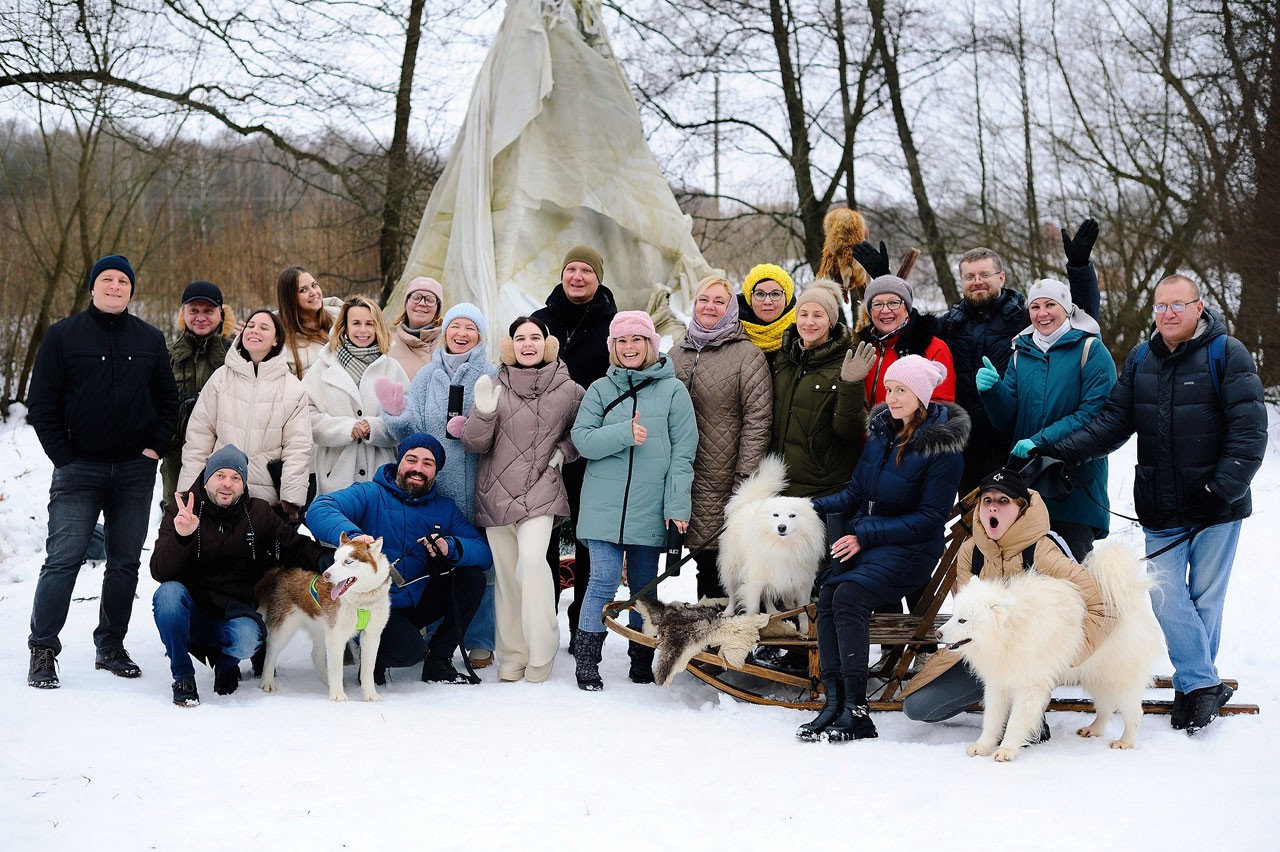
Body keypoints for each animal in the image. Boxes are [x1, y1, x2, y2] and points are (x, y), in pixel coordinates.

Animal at [716, 455, 824, 626]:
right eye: (775, 515)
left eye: (792, 515)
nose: (781, 527)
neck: (782, 546)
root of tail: (749, 503)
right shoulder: (754, 581)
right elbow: (753, 608)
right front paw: (752, 625)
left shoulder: (802, 583)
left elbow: (803, 613)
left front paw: (805, 631)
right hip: (732, 567)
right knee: (732, 594)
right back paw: (728, 611)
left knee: (767, 596)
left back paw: (773, 612)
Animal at [936, 539, 1167, 757]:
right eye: (954, 615)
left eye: (963, 620)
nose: (937, 634)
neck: (1010, 634)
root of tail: (1126, 597)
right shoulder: (998, 682)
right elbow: (992, 719)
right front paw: (983, 746)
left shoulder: (1029, 685)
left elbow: (1015, 721)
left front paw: (1007, 750)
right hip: (1097, 676)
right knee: (1106, 707)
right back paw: (1093, 729)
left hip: (1120, 678)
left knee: (1134, 712)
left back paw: (1125, 742)